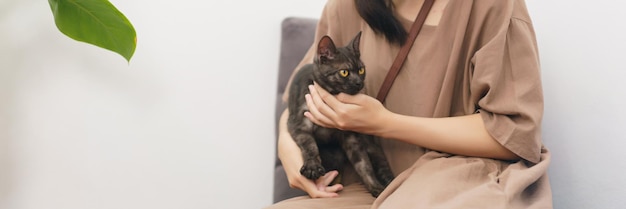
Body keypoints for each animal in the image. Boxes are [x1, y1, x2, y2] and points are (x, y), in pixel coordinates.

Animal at [286, 31, 392, 197]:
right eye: (344, 72)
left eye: (361, 70)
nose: (359, 83)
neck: (332, 95)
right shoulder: (299, 124)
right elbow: (309, 145)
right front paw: (312, 166)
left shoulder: (352, 138)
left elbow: (364, 165)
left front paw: (375, 187)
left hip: (370, 145)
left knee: (380, 162)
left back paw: (389, 181)